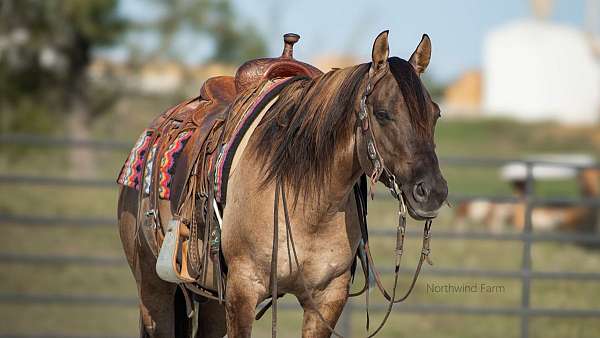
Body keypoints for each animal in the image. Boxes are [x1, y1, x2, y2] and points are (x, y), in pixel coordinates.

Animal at [117, 30, 448, 336]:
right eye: (382, 113)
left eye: (435, 114)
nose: (432, 192)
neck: (309, 202)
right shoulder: (243, 289)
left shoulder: (328, 298)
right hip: (153, 287)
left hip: (212, 299)